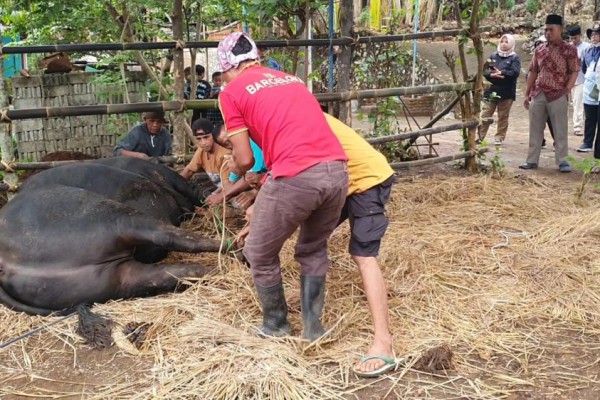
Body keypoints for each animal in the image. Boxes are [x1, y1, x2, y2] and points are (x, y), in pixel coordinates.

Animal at [0, 158, 220, 346]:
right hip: (107, 216)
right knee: (171, 237)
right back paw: (225, 248)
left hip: (109, 279)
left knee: (173, 273)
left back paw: (218, 271)